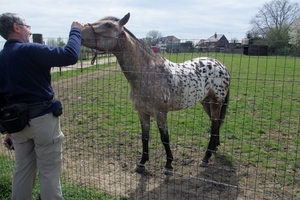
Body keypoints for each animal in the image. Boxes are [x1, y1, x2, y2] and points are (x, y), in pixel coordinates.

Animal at [81, 12, 231, 175]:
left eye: (108, 25)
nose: (79, 31)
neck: (148, 73)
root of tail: (221, 66)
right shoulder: (142, 113)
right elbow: (144, 138)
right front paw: (141, 163)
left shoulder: (160, 114)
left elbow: (164, 138)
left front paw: (168, 165)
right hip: (206, 102)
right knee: (215, 125)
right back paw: (214, 149)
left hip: (216, 102)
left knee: (214, 126)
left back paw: (206, 158)